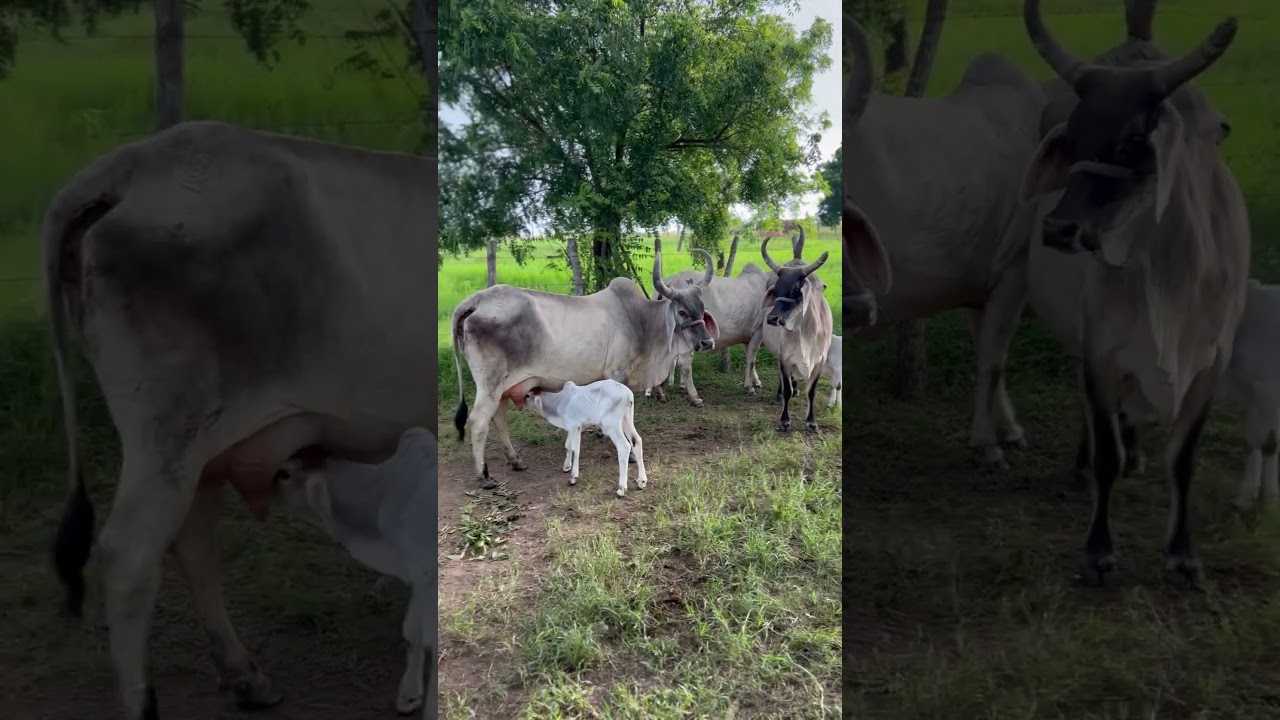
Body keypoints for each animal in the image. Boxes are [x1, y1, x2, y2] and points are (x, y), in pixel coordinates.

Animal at [272, 427, 438, 719]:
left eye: (284, 473)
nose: (264, 490)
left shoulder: (426, 573)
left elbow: (422, 635)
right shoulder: (419, 577)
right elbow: (414, 635)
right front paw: (410, 695)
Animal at [451, 241, 719, 488]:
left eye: (702, 308)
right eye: (682, 311)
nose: (707, 342)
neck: (640, 321)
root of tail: (476, 300)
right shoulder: (618, 375)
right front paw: (629, 455)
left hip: (504, 387)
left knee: (499, 418)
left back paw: (515, 460)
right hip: (490, 384)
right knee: (478, 422)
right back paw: (484, 475)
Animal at [760, 237, 833, 433]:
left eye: (794, 290)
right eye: (776, 289)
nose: (772, 318)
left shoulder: (819, 361)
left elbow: (811, 392)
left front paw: (811, 422)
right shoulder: (785, 357)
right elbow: (787, 390)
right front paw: (784, 421)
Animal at [843, 12, 1046, 466]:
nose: (857, 307)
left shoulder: (979, 285)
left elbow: (988, 356)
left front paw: (1008, 432)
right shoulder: (1014, 268)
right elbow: (993, 363)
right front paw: (989, 444)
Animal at [1018, 0, 1248, 588]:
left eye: (1129, 142)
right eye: (1072, 137)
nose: (1059, 229)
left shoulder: (1212, 363)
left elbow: (1183, 461)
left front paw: (1183, 555)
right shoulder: (1100, 349)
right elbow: (1107, 455)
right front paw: (1098, 551)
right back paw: (1084, 467)